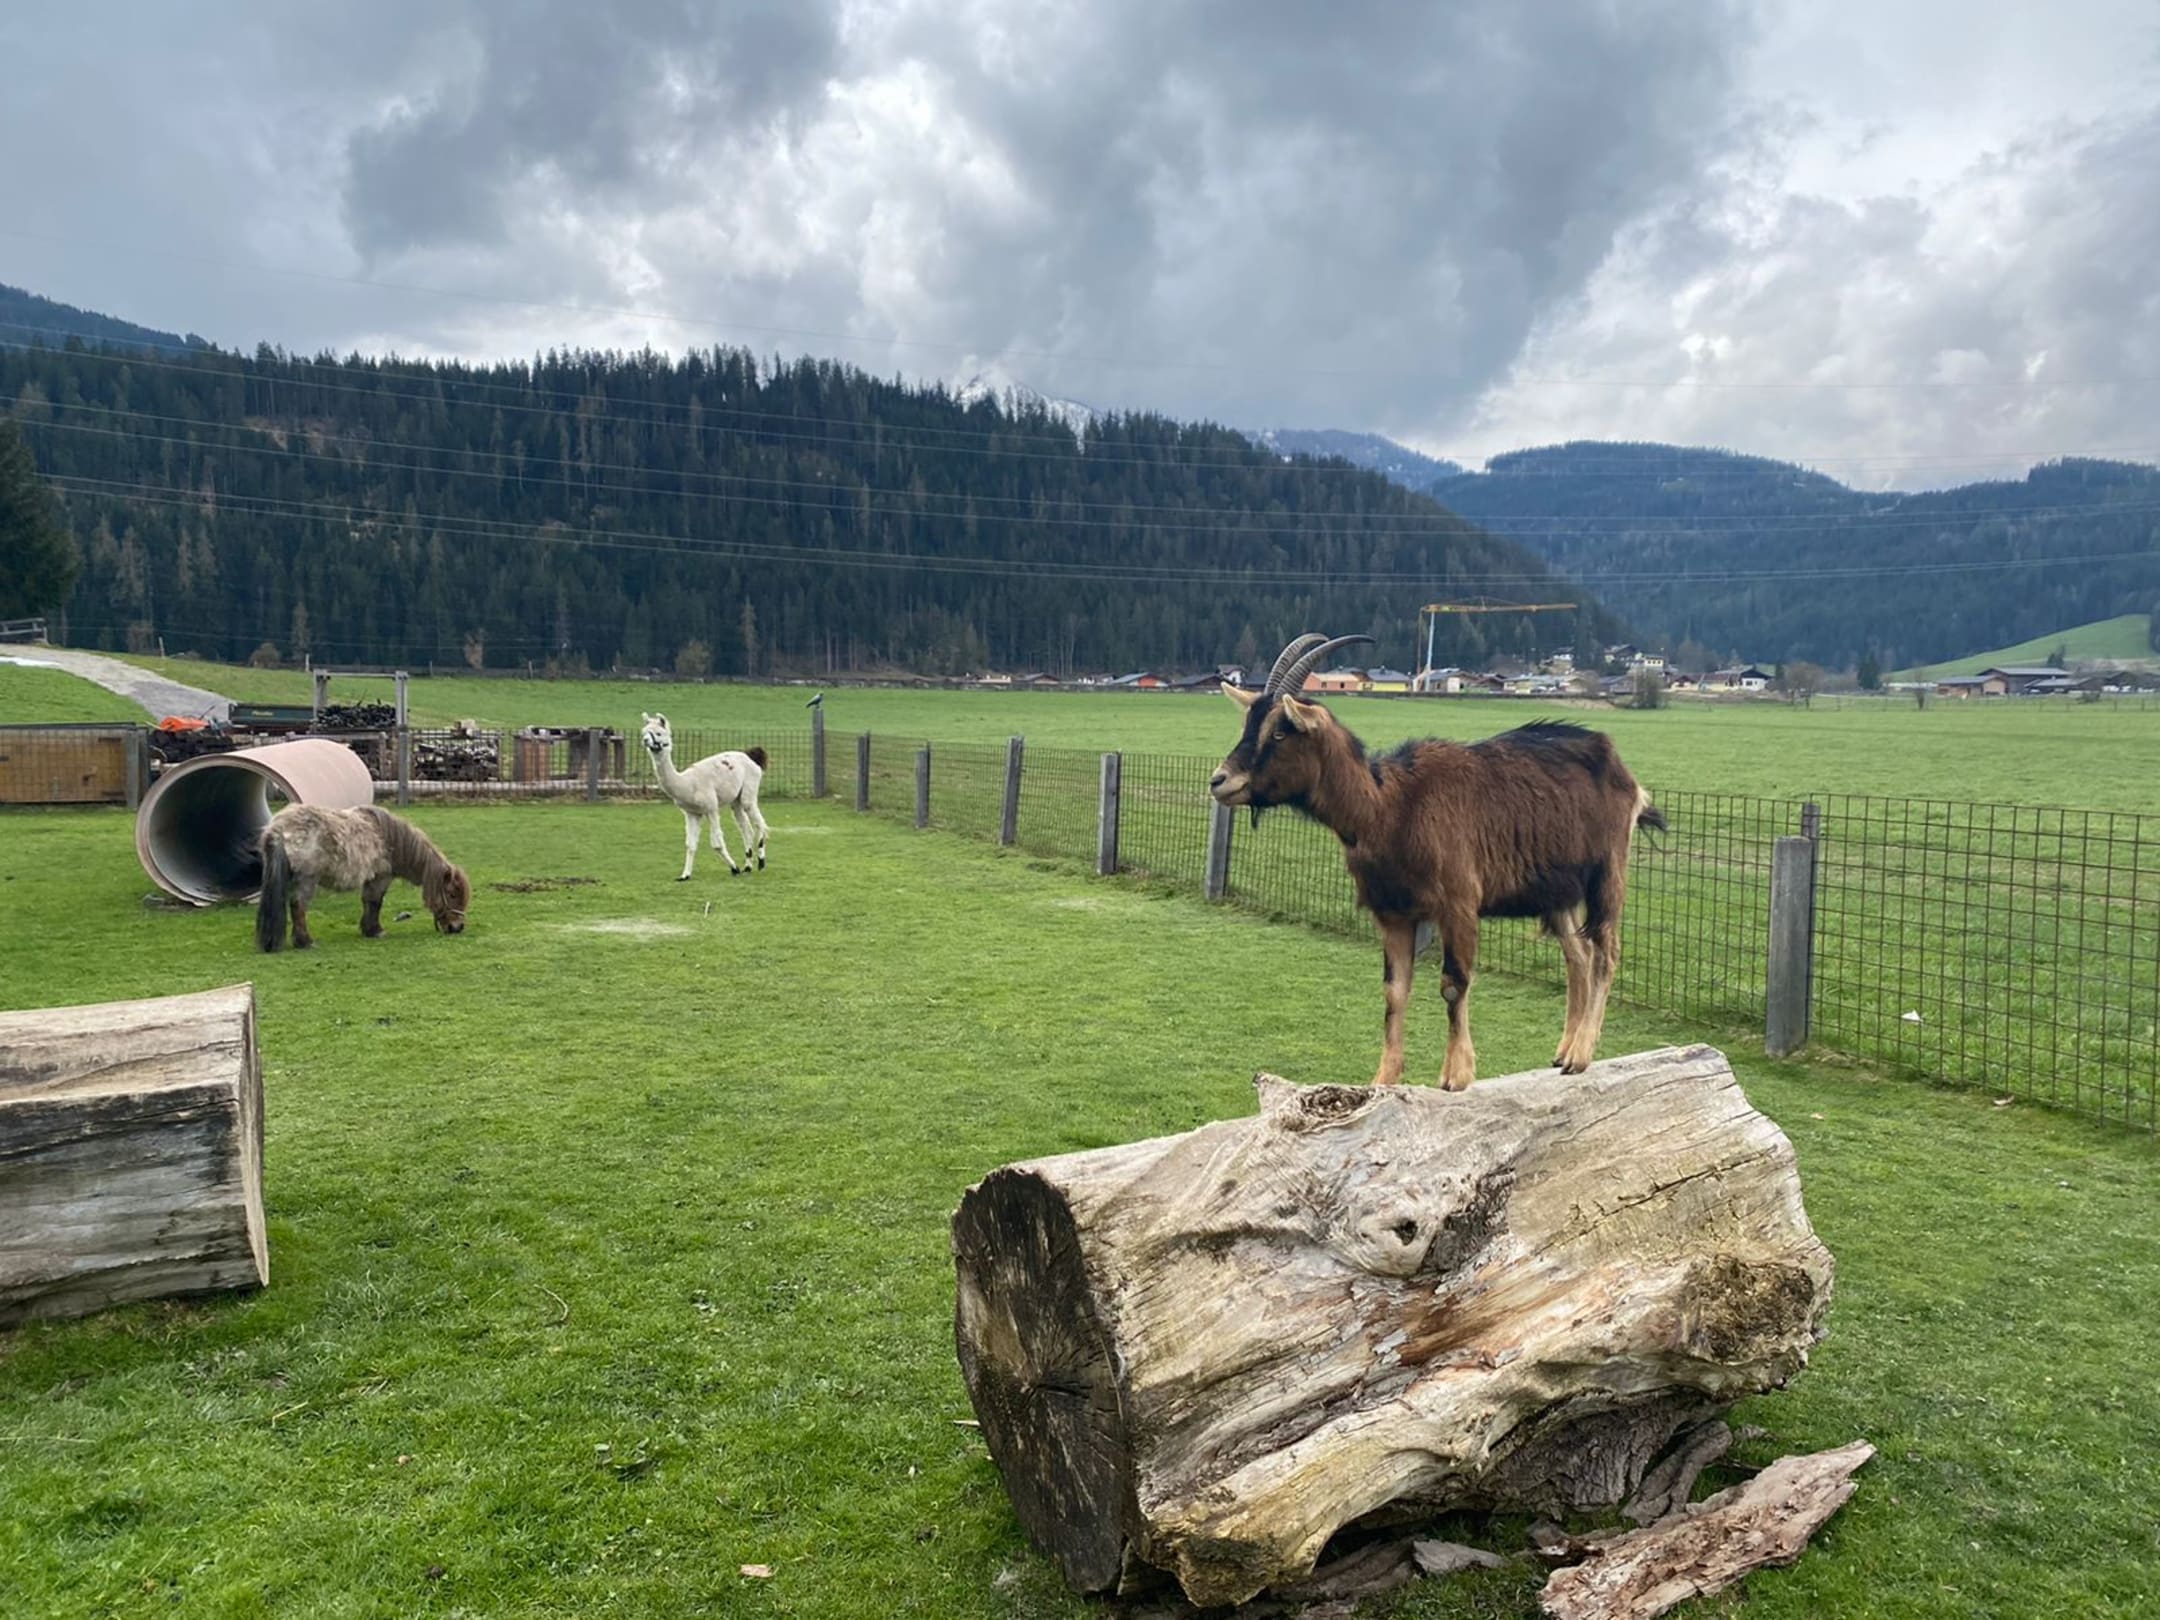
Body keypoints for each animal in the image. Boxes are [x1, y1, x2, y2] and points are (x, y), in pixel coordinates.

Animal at [254, 805, 471, 951]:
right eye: (452, 894)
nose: (457, 927)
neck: (390, 840)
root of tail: (279, 829)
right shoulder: (381, 878)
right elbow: (376, 902)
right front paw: (376, 930)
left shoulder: (371, 879)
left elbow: (368, 902)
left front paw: (368, 929)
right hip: (307, 879)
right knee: (298, 906)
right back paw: (305, 941)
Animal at [1210, 632, 1665, 1090]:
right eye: (1248, 726)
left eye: (1280, 733)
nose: (1219, 780)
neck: (1388, 808)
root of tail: (1624, 774)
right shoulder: (1392, 914)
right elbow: (1394, 990)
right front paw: (1383, 1079)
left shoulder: (1458, 904)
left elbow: (1453, 982)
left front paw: (1456, 1074)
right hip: (1555, 892)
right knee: (1579, 956)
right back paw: (1564, 1049)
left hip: (1607, 871)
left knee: (1605, 952)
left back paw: (1581, 1054)